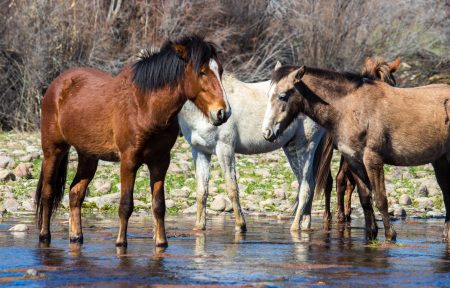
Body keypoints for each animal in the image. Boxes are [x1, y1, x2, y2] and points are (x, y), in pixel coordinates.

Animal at [37, 35, 230, 248]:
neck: (145, 106)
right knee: (47, 193)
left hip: (88, 156)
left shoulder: (160, 162)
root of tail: (56, 85)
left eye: (220, 71)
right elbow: (126, 204)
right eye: (202, 72)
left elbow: (159, 205)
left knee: (75, 193)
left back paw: (76, 236)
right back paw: (44, 235)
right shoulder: (129, 161)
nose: (223, 112)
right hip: (53, 150)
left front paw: (161, 242)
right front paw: (121, 242)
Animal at [178, 63, 326, 232]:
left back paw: (295, 227)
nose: (222, 114)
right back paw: (305, 225)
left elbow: (232, 188)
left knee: (306, 187)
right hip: (291, 148)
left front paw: (240, 226)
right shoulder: (200, 152)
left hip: (306, 146)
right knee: (306, 183)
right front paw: (199, 227)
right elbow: (202, 191)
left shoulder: (225, 149)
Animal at [264, 64, 450, 242]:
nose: (267, 132)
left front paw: (390, 235)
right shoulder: (354, 160)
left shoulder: (373, 160)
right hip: (440, 161)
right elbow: (365, 199)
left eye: (283, 96)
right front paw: (371, 233)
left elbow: (381, 200)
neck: (349, 108)